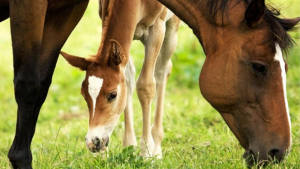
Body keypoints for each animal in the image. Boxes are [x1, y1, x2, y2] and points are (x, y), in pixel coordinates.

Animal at [59, 0, 179, 158]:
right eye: (84, 95)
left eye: (112, 95)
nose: (93, 142)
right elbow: (127, 80)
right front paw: (129, 146)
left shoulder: (157, 29)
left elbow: (146, 85)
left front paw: (146, 152)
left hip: (172, 25)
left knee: (162, 69)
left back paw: (157, 148)